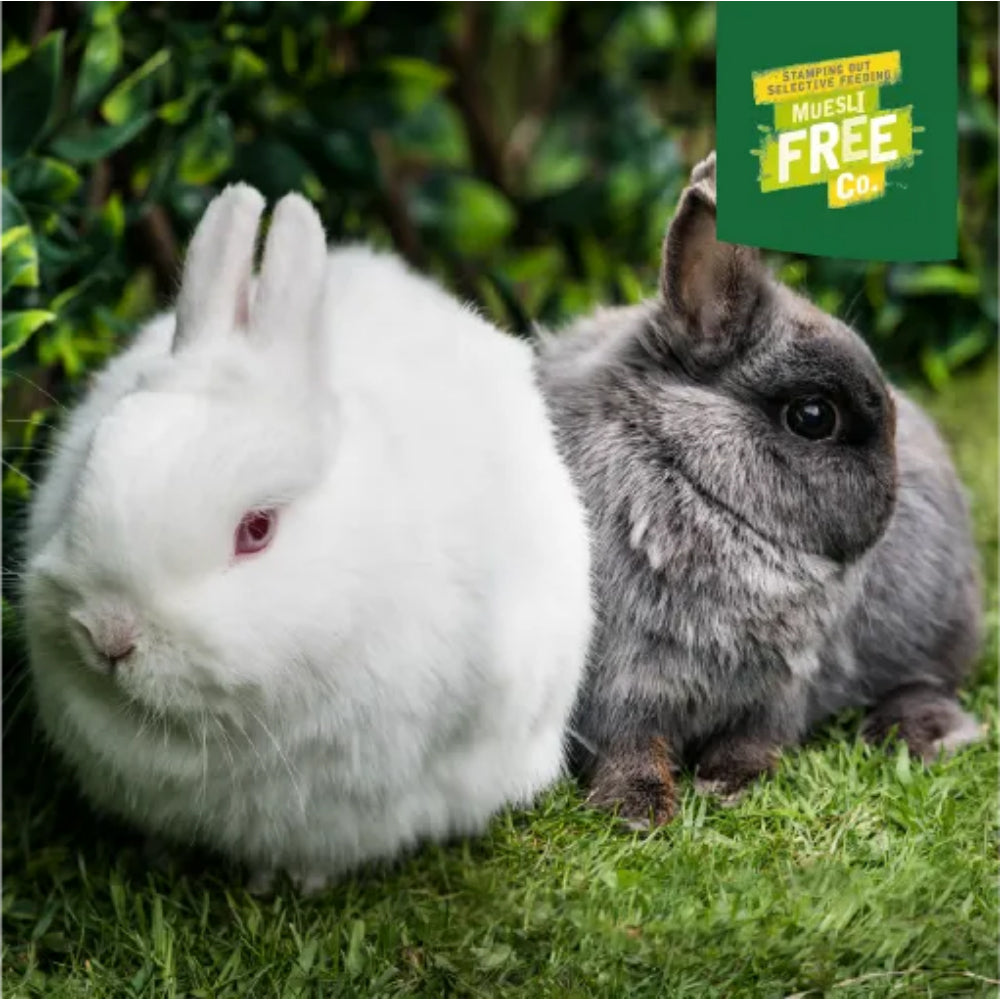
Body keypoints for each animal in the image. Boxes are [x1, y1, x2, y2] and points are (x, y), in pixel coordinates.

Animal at [536, 152, 983, 827]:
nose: (890, 504)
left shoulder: (783, 685)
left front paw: (730, 783)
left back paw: (923, 735)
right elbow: (629, 746)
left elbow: (756, 738)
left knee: (925, 680)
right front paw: (638, 809)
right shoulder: (619, 689)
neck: (695, 487)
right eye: (813, 416)